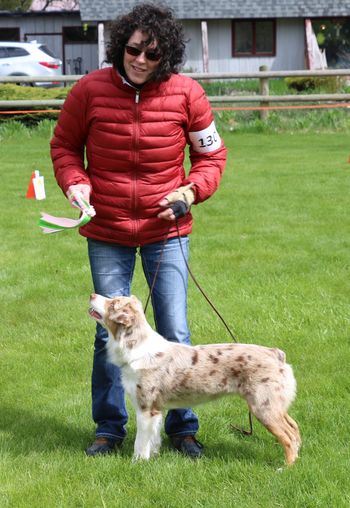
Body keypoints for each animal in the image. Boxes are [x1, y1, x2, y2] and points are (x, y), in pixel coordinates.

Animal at [88, 294, 300, 464]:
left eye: (113, 303)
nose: (92, 294)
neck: (135, 349)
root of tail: (276, 353)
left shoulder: (145, 408)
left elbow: (140, 442)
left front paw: (137, 463)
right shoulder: (157, 409)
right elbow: (154, 438)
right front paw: (153, 458)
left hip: (263, 407)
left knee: (288, 436)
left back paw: (285, 468)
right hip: (274, 405)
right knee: (295, 429)